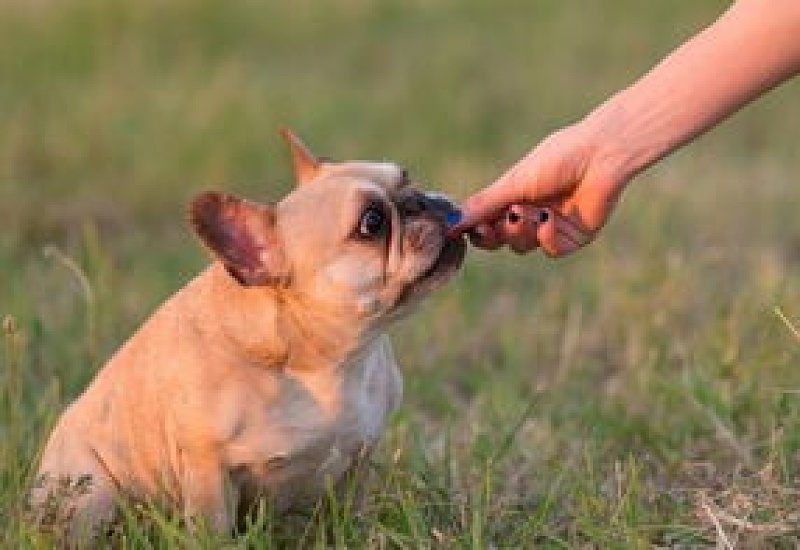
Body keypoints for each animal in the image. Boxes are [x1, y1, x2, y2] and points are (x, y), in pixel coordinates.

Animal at [31, 130, 466, 544]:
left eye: (408, 177)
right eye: (371, 223)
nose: (421, 201)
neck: (327, 360)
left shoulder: (359, 460)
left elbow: (351, 517)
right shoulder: (209, 469)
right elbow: (213, 532)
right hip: (93, 493)